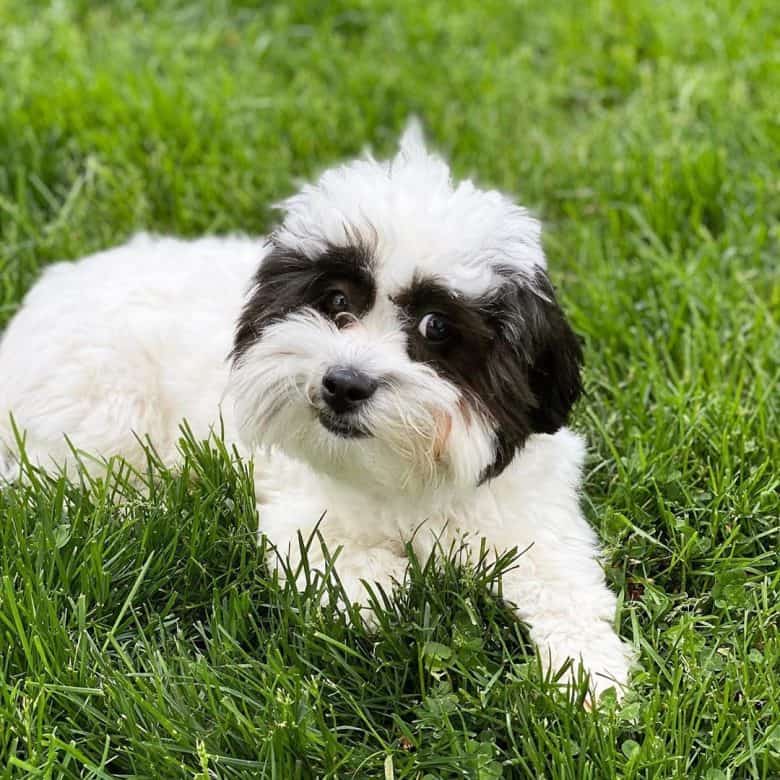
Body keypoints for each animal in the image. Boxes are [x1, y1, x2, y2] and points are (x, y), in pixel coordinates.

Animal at [0, 122, 632, 700]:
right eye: (335, 301)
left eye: (436, 326)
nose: (344, 385)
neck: (406, 474)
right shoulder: (302, 515)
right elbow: (360, 579)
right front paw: (404, 585)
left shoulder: (536, 519)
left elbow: (567, 587)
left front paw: (591, 678)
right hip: (101, 405)